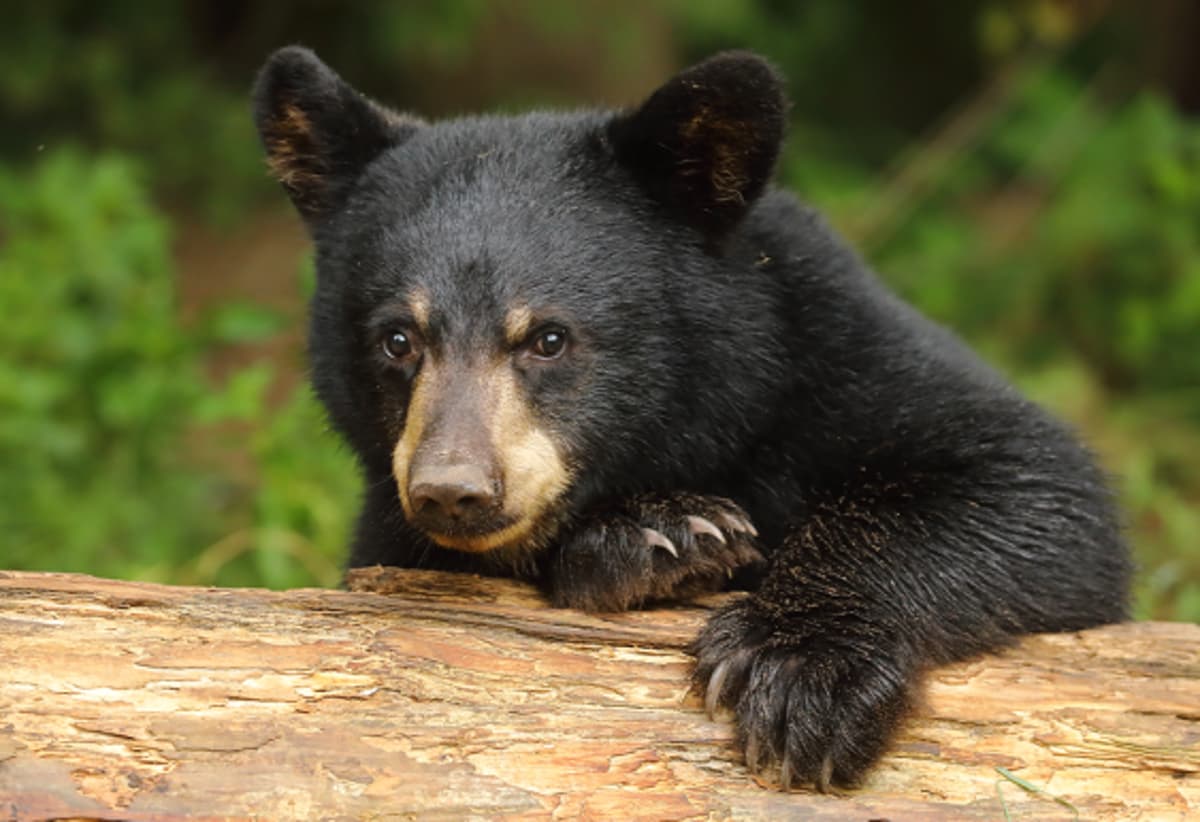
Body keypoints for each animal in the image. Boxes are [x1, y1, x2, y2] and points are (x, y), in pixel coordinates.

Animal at [252, 47, 1130, 790]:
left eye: (548, 337)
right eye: (398, 338)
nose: (453, 490)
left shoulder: (835, 347)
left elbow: (1036, 487)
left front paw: (801, 670)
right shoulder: (389, 533)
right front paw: (662, 537)